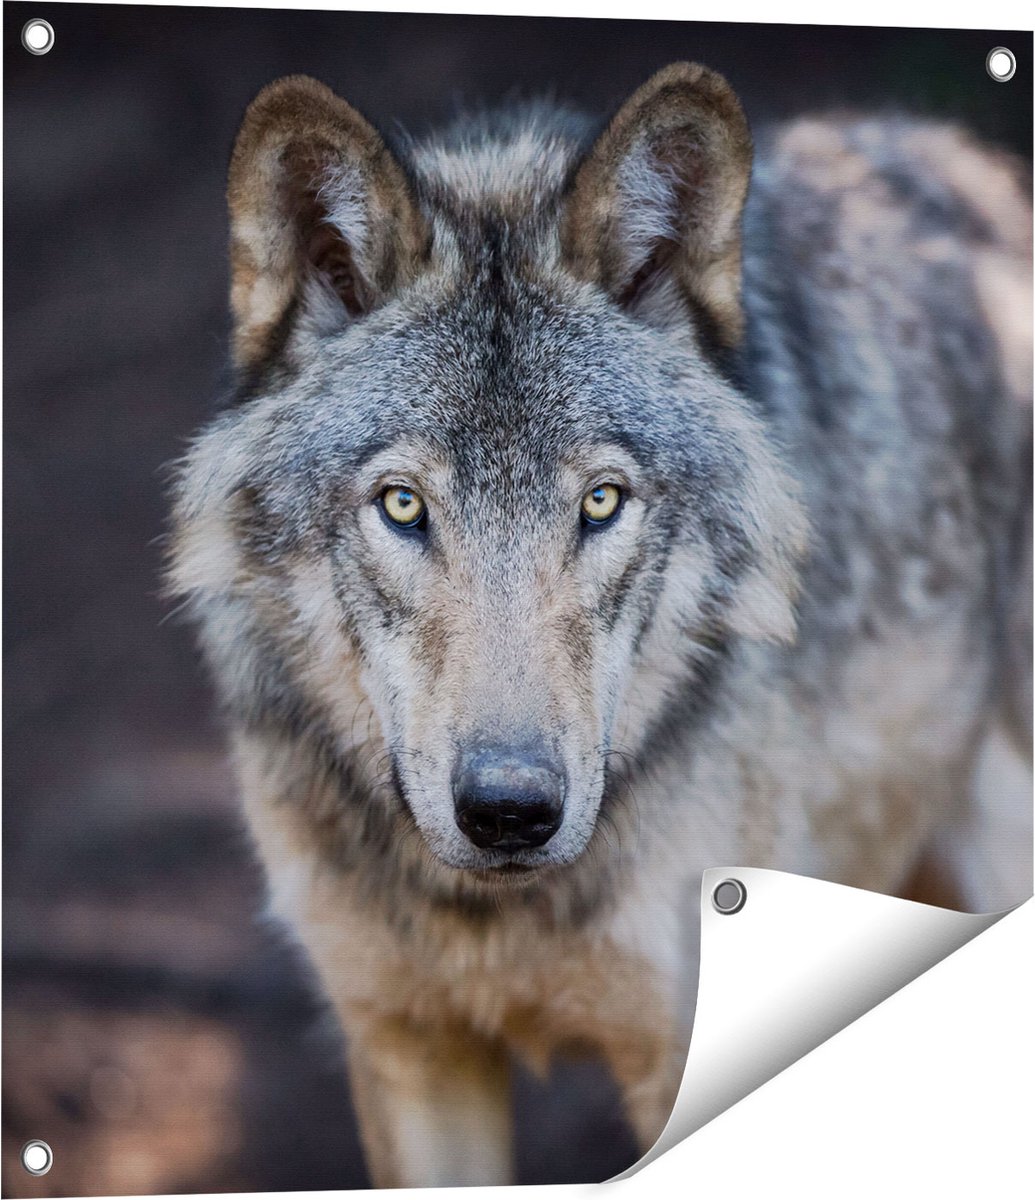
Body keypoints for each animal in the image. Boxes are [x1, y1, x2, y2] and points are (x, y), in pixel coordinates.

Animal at [168, 62, 1032, 1186]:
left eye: (601, 502)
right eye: (402, 505)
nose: (508, 812)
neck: (493, 917)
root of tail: (967, 170)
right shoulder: (410, 1050)